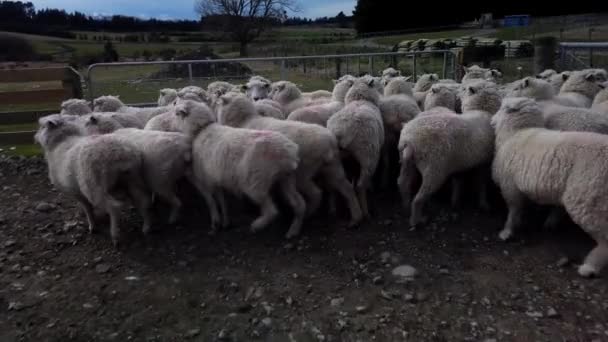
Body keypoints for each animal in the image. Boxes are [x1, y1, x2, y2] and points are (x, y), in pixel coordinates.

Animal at [34, 115, 153, 246]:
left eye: (42, 126)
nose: (35, 137)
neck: (61, 142)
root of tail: (119, 153)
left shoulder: (77, 192)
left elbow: (87, 208)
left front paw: (92, 225)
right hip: (133, 178)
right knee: (143, 200)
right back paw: (146, 227)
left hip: (94, 185)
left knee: (114, 207)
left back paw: (115, 236)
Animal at [175, 99, 308, 238]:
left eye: (176, 114)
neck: (201, 130)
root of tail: (287, 154)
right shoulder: (216, 178)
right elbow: (222, 200)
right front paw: (226, 222)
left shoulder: (204, 180)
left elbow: (210, 201)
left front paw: (215, 223)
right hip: (287, 179)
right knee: (299, 205)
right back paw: (293, 231)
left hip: (255, 183)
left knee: (272, 211)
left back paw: (257, 225)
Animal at [217, 92, 364, 226]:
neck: (245, 121)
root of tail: (328, 142)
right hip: (333, 167)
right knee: (347, 188)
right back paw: (356, 217)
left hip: (303, 173)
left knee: (316, 193)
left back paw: (307, 215)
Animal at [328, 78, 384, 216]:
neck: (360, 99)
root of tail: (341, 131)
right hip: (368, 157)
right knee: (360, 186)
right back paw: (364, 212)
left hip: (333, 160)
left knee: (336, 184)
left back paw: (334, 209)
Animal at [492, 96, 608, 278]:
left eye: (502, 108)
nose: (491, 121)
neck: (516, 133)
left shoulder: (510, 185)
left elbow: (513, 209)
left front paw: (507, 232)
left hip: (587, 199)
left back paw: (589, 267)